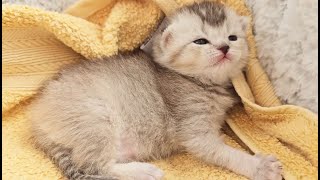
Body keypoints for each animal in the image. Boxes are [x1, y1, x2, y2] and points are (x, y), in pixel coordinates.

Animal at [28, 1, 282, 180]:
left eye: (232, 37)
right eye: (201, 41)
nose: (224, 48)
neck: (198, 82)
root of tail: (37, 118)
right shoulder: (193, 129)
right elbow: (223, 152)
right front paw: (259, 166)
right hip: (94, 120)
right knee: (94, 165)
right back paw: (143, 172)